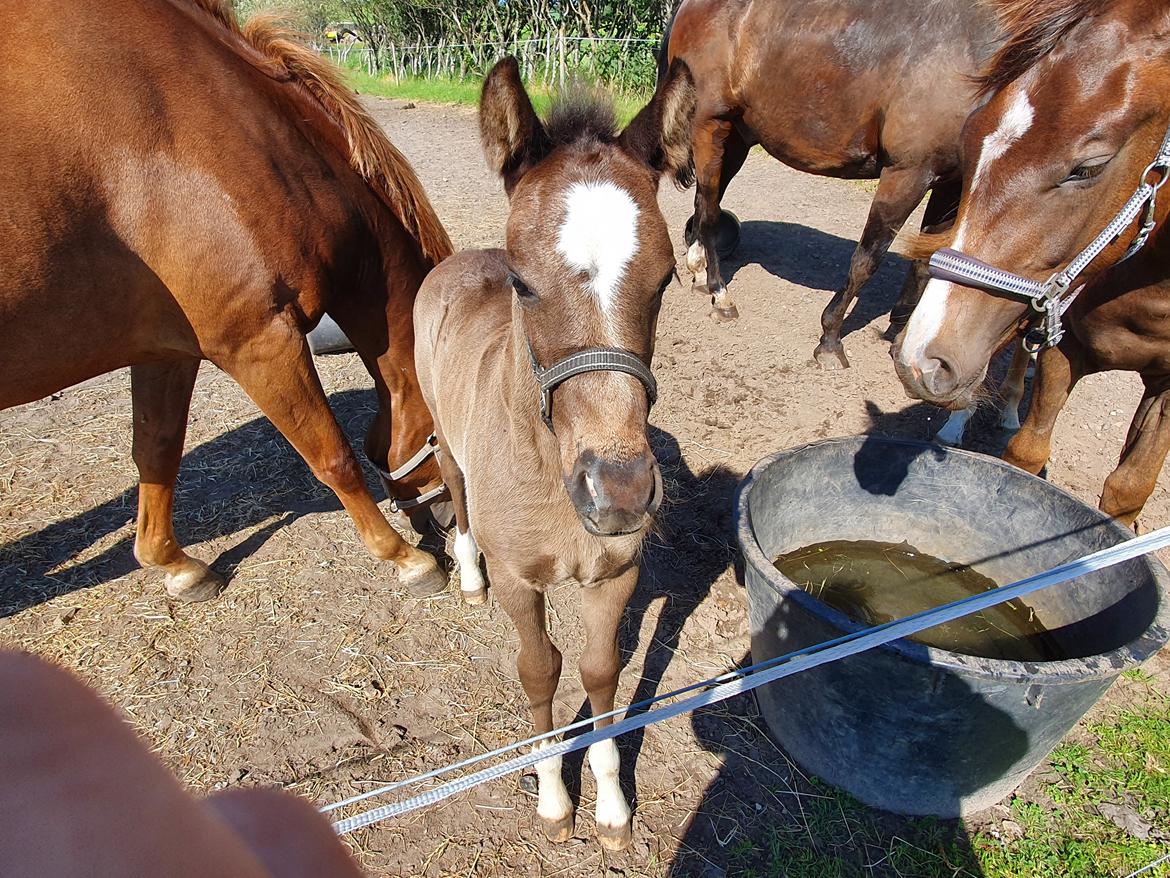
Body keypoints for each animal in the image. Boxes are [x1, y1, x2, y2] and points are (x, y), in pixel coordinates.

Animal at [1, 0, 451, 599]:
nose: (445, 523)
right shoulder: (260, 343)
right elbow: (333, 457)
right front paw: (405, 558)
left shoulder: (166, 351)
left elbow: (157, 452)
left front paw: (174, 564)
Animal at [416, 58, 697, 847]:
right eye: (523, 282)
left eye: (666, 279)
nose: (619, 492)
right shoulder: (523, 581)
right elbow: (540, 670)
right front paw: (551, 797)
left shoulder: (617, 576)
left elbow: (601, 671)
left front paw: (611, 807)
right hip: (444, 436)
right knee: (455, 490)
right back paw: (466, 576)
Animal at [664, 0, 1001, 367]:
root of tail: (688, 7)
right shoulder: (907, 173)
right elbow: (868, 258)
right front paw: (830, 339)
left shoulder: (950, 183)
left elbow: (927, 261)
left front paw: (901, 335)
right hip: (710, 125)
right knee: (710, 209)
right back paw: (720, 295)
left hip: (736, 136)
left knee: (704, 202)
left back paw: (699, 273)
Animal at [893, 0, 1170, 526]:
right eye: (970, 140)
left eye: (1088, 168)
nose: (921, 359)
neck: (1146, 286)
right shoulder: (1065, 348)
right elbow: (1027, 453)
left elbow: (1130, 487)